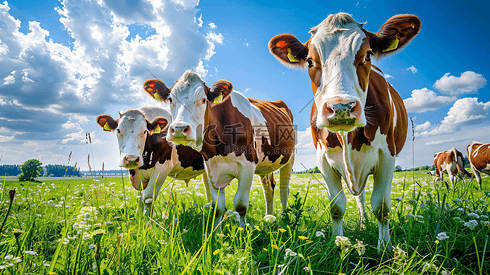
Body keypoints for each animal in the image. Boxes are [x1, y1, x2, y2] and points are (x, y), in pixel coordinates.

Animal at [142, 71, 294, 229]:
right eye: (170, 99)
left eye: (203, 100)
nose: (178, 129)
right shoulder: (211, 167)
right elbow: (217, 206)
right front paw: (216, 231)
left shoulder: (248, 165)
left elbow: (240, 205)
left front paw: (241, 230)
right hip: (266, 165)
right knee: (269, 188)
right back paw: (269, 218)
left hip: (290, 158)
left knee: (284, 188)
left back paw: (283, 218)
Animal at [268, 12, 422, 250]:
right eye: (310, 60)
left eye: (368, 55)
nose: (341, 107)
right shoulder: (323, 160)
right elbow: (337, 206)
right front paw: (337, 243)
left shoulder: (387, 156)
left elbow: (381, 206)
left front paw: (384, 247)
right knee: (359, 196)